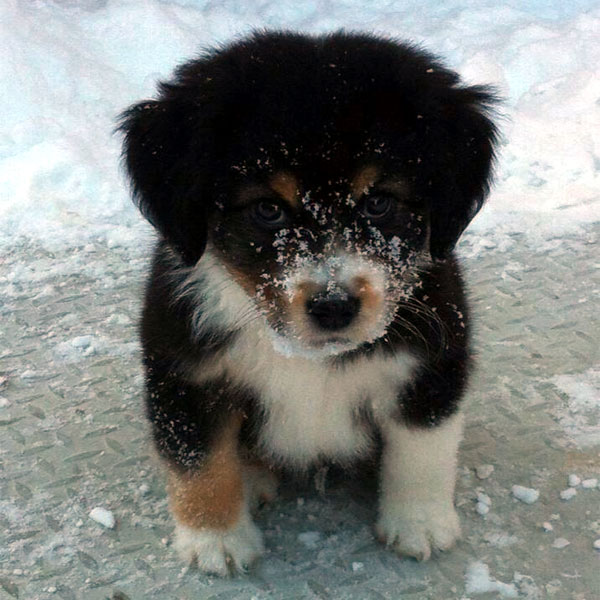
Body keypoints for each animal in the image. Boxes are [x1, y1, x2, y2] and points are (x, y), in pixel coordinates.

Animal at [118, 30, 496, 576]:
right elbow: (199, 462)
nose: (334, 306)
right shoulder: (185, 372)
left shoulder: (433, 361)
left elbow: (422, 449)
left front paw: (419, 524)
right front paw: (216, 541)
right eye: (268, 210)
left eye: (379, 202)